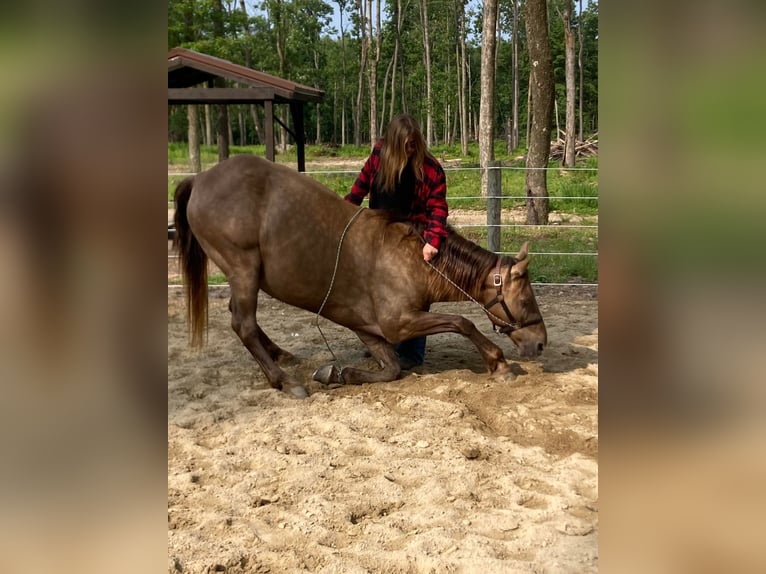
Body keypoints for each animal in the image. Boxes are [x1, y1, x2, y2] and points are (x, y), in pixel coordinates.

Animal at [174, 158, 544, 400]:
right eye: (526, 299)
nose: (540, 343)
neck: (415, 258)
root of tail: (199, 179)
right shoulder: (399, 323)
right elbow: (461, 323)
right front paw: (498, 363)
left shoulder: (370, 329)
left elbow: (392, 369)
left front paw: (340, 373)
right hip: (243, 269)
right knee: (244, 324)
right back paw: (284, 381)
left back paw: (281, 355)